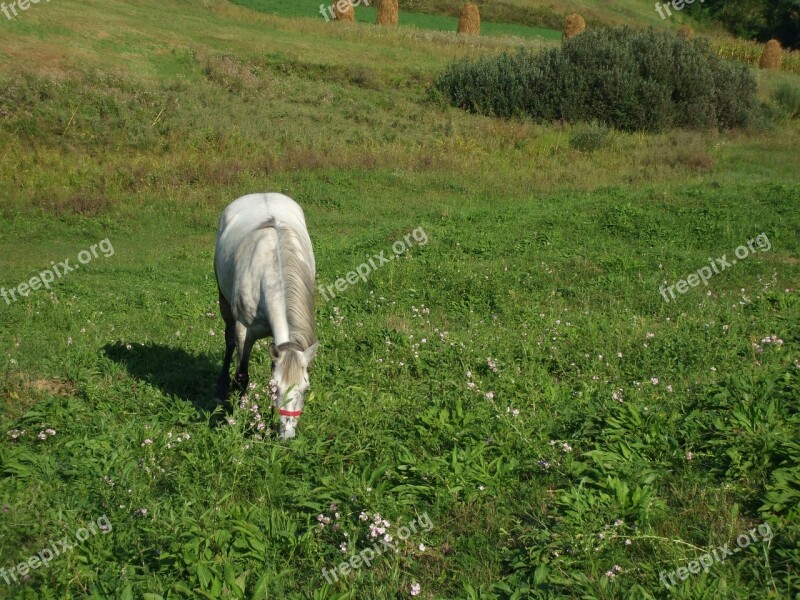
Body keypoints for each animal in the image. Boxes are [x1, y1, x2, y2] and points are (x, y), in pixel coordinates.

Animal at [214, 195, 318, 438]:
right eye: (275, 386)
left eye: (305, 388)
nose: (287, 436)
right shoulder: (244, 331)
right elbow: (242, 376)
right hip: (223, 302)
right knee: (228, 339)